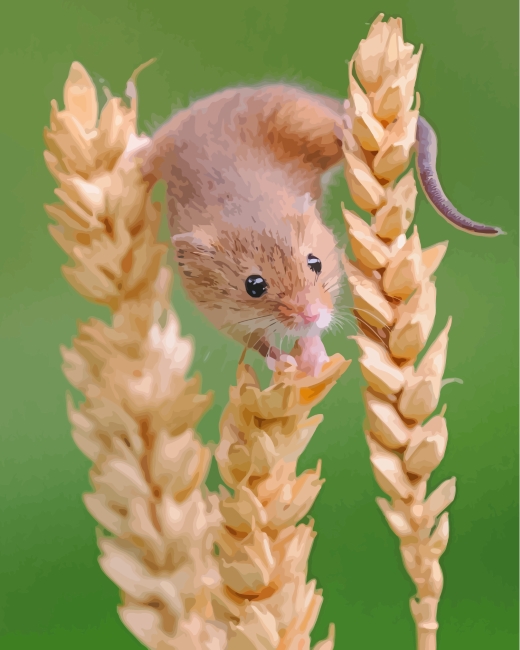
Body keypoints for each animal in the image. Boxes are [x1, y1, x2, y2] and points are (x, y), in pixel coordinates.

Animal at [140, 84, 502, 373]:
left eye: (315, 263)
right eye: (253, 286)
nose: (313, 315)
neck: (246, 209)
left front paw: (315, 359)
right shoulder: (227, 320)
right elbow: (262, 345)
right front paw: (290, 362)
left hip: (306, 126)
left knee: (335, 128)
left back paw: (348, 124)